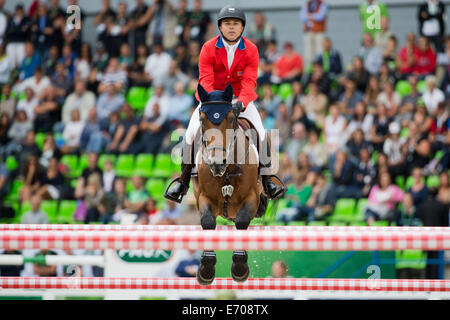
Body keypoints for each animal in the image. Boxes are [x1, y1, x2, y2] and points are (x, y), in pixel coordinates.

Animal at [192, 84, 266, 286]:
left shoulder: (251, 197)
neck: (226, 171)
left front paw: (240, 268)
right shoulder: (204, 197)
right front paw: (206, 270)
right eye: (202, 120)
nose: (217, 163)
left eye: (231, 118)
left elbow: (242, 222)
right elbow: (208, 222)